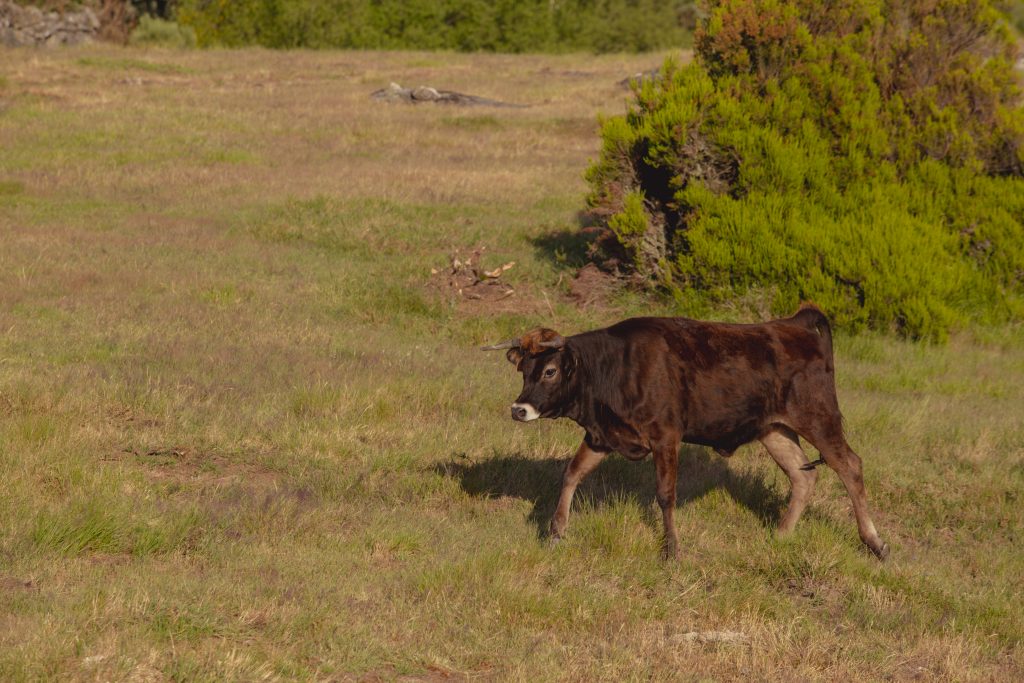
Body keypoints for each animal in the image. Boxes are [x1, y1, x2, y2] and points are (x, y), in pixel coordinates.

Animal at [482, 304, 889, 560]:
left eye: (550, 371)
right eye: (524, 370)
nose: (519, 409)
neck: (615, 366)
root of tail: (794, 323)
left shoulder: (665, 436)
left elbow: (666, 495)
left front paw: (672, 550)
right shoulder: (601, 436)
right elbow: (571, 474)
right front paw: (555, 532)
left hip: (818, 418)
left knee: (850, 466)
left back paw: (875, 542)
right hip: (774, 429)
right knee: (803, 476)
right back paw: (780, 535)